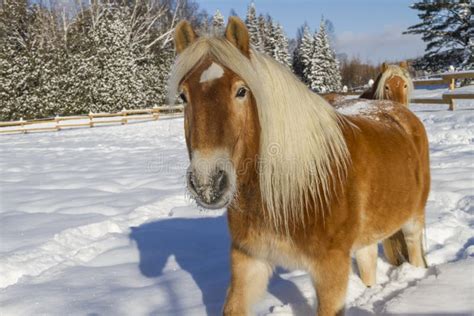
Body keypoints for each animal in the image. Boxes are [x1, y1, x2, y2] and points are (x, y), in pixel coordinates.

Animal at [170, 17, 430, 316]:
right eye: (183, 96)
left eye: (241, 91)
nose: (208, 183)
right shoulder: (248, 258)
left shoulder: (331, 268)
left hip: (413, 221)